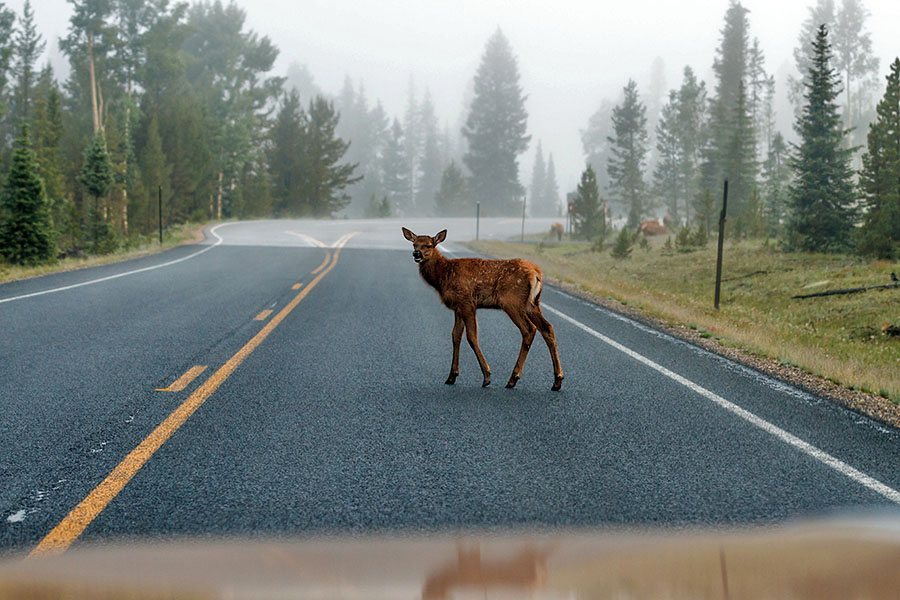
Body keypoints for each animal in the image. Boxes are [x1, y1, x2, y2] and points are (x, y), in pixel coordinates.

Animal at [402, 227, 564, 392]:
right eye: (414, 244)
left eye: (429, 245)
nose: (417, 254)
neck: (443, 276)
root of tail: (537, 273)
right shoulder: (458, 307)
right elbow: (455, 336)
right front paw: (452, 376)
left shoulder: (467, 301)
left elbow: (472, 337)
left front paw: (487, 376)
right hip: (533, 303)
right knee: (547, 328)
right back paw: (557, 380)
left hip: (512, 301)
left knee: (529, 329)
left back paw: (513, 378)